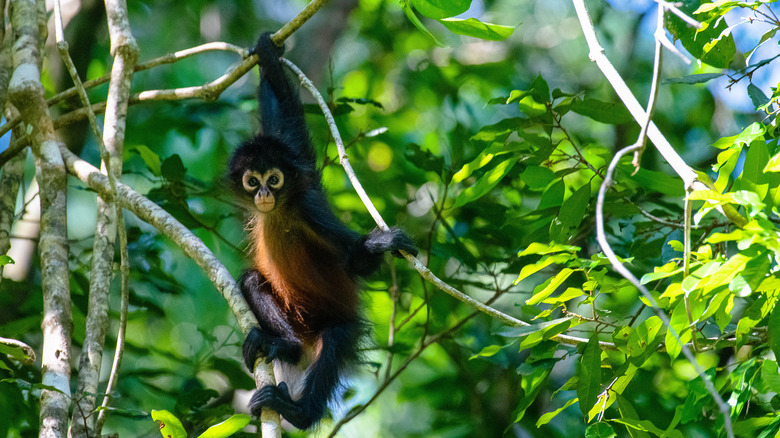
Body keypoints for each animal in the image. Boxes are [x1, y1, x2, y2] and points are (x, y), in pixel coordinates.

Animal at [229, 32, 418, 430]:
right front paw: (268, 57)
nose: (264, 194)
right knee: (251, 280)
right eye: (253, 180)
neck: (281, 210)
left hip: (334, 324)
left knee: (334, 339)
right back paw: (285, 346)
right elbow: (284, 124)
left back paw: (298, 412)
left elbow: (355, 263)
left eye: (274, 179)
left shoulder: (309, 207)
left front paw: (382, 243)